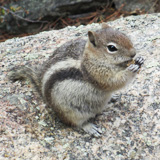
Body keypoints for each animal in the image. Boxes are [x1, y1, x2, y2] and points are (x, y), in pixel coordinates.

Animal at [8, 23, 144, 137]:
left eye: (124, 35)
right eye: (111, 48)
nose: (133, 53)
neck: (91, 58)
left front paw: (139, 60)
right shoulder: (97, 75)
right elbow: (114, 82)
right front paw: (131, 69)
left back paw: (112, 98)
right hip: (71, 113)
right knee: (77, 123)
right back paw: (89, 127)